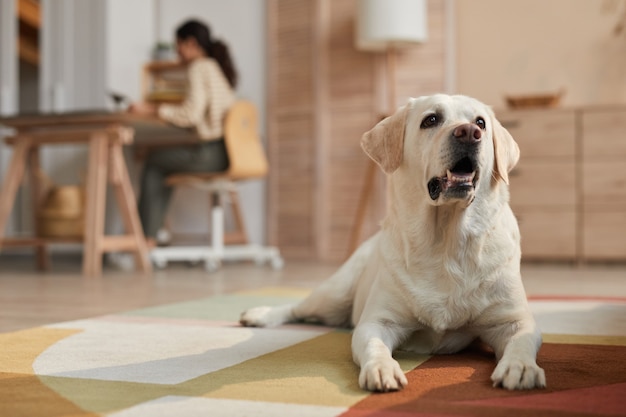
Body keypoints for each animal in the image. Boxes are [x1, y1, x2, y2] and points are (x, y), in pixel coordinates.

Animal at [241, 93, 544, 390]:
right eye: (431, 120)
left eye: (480, 122)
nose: (469, 132)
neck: (446, 241)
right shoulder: (376, 322)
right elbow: (374, 345)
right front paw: (382, 369)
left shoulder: (513, 320)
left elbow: (522, 339)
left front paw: (520, 367)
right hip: (336, 293)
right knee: (297, 307)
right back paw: (259, 314)